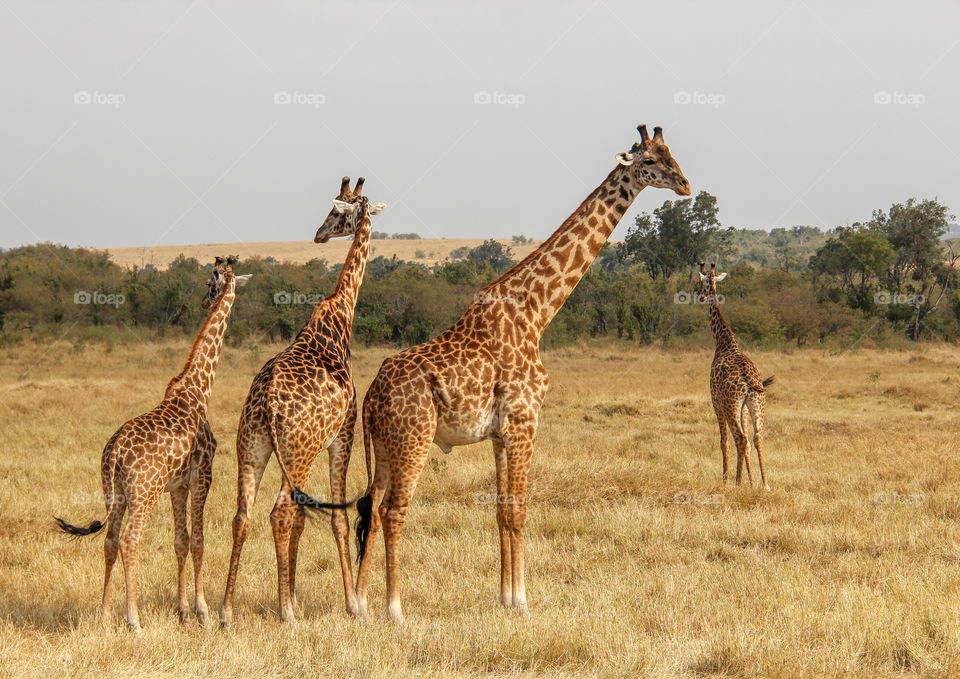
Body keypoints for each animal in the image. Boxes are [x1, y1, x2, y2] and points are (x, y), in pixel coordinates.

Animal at [54, 255, 251, 632]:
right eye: (210, 282)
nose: (204, 302)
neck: (198, 390)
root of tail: (114, 451)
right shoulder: (202, 477)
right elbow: (199, 541)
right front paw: (203, 613)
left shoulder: (177, 485)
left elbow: (181, 541)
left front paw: (183, 611)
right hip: (143, 494)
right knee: (131, 540)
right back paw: (134, 620)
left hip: (114, 492)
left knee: (111, 539)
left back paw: (104, 613)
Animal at [219, 177, 388, 628]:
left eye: (335, 212)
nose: (319, 234)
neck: (341, 315)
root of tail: (266, 403)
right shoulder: (342, 435)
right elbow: (338, 518)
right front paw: (352, 604)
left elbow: (301, 522)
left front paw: (293, 595)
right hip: (300, 449)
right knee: (279, 513)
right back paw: (286, 616)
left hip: (254, 446)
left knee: (243, 516)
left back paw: (226, 611)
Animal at [352, 123, 688, 620]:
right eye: (649, 162)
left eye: (673, 155)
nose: (685, 185)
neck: (536, 312)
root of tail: (371, 397)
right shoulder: (525, 421)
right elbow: (520, 510)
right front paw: (523, 601)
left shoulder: (499, 432)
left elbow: (500, 510)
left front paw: (504, 597)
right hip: (413, 439)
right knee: (394, 511)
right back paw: (394, 609)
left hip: (384, 445)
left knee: (371, 508)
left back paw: (358, 603)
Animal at [696, 262, 772, 492]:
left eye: (700, 283)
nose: (699, 296)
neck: (723, 341)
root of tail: (748, 380)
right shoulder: (744, 409)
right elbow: (746, 443)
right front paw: (750, 481)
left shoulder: (716, 403)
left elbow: (724, 442)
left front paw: (726, 480)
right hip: (757, 404)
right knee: (755, 438)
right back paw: (765, 483)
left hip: (731, 406)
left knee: (739, 439)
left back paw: (739, 483)